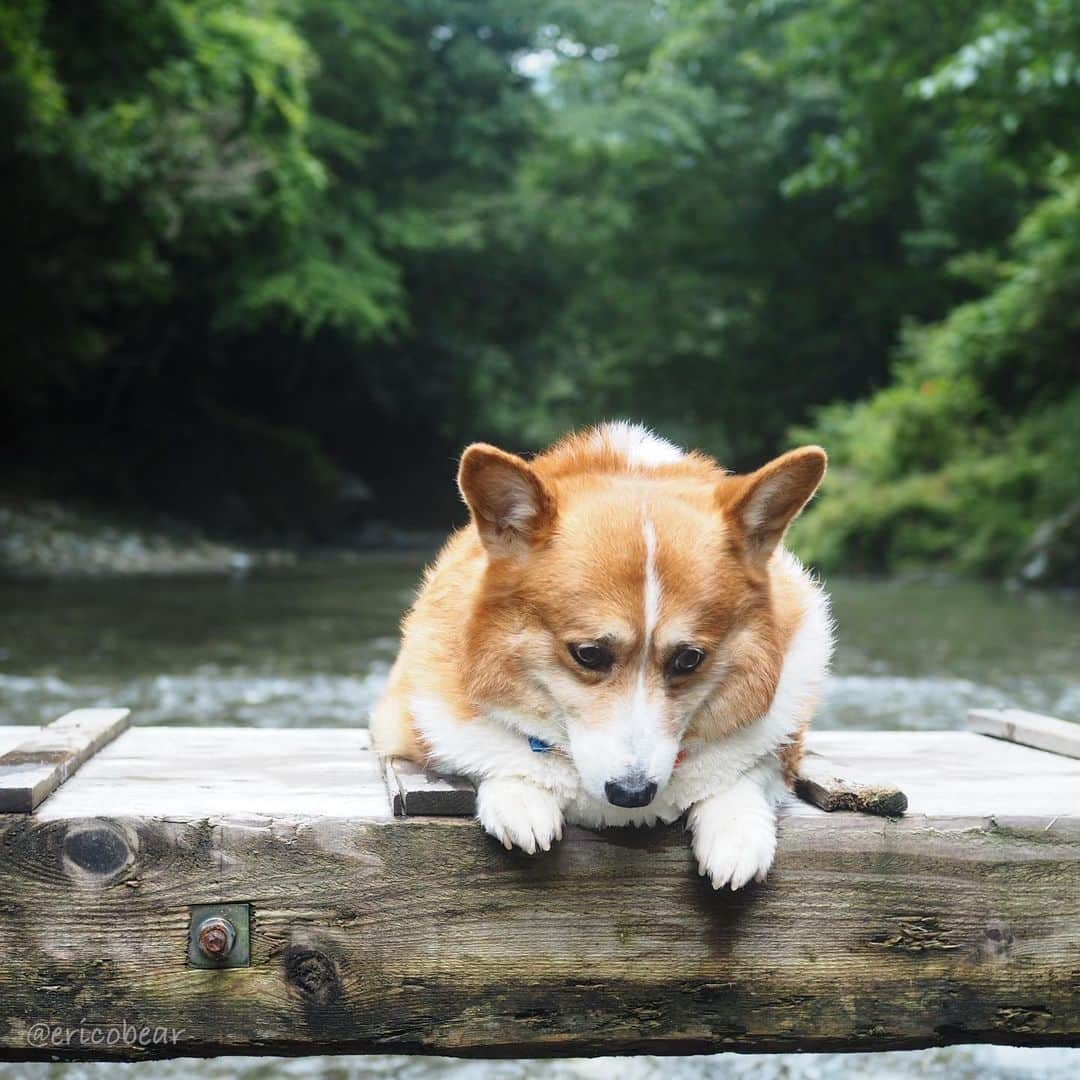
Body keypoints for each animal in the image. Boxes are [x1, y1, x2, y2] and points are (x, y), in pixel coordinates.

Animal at [373, 419, 833, 885]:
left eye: (689, 659)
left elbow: (745, 771)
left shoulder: (784, 738)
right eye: (588, 654)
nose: (632, 794)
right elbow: (492, 752)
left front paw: (736, 831)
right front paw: (521, 798)